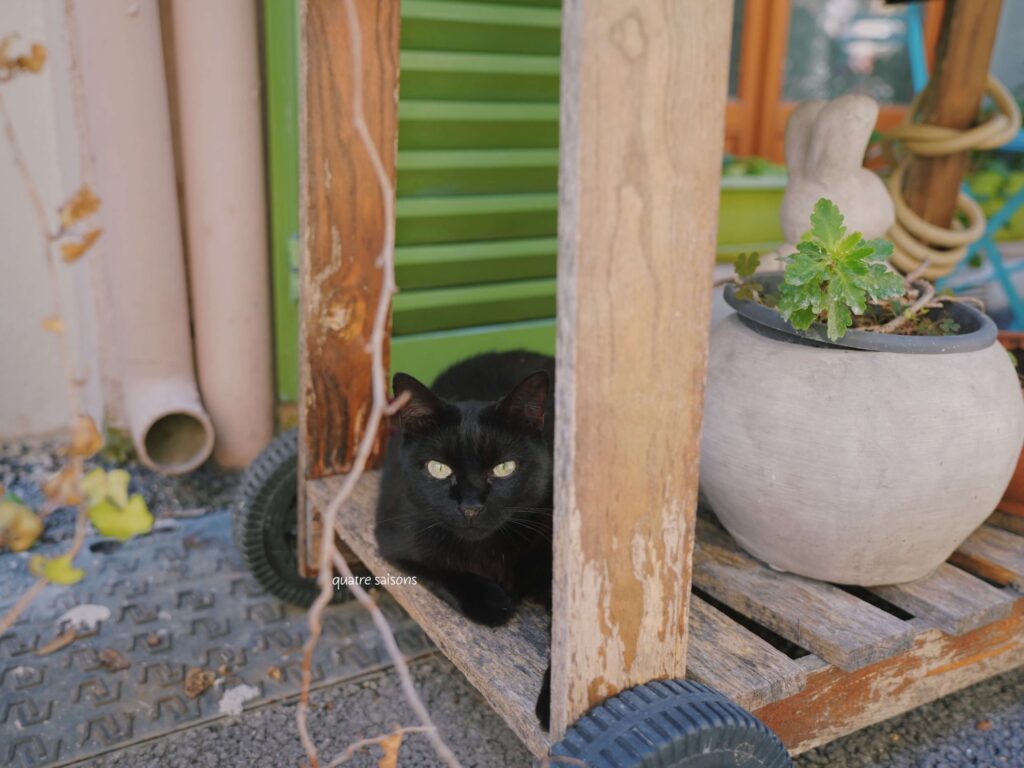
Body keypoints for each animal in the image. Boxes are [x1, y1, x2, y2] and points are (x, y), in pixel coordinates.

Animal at [374, 352, 552, 729]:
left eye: (504, 468)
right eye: (439, 468)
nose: (471, 507)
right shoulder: (396, 539)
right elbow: (440, 571)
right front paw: (493, 603)